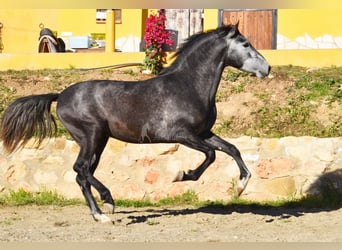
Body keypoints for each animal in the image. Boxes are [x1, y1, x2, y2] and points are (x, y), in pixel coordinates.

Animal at [1, 23, 272, 223]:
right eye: (246, 44)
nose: (267, 68)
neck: (188, 86)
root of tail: (60, 95)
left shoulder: (203, 132)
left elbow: (231, 149)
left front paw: (241, 186)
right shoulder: (181, 134)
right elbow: (211, 155)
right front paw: (181, 175)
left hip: (99, 141)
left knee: (83, 174)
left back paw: (103, 210)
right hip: (92, 135)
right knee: (81, 169)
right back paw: (105, 207)